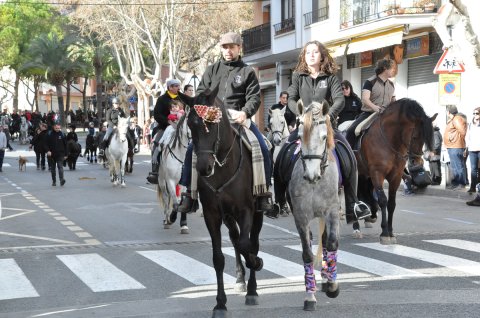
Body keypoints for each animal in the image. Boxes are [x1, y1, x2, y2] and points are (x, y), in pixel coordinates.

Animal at [186, 89, 264, 318]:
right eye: (190, 125)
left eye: (212, 124)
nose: (203, 168)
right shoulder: (212, 215)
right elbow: (218, 258)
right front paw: (220, 303)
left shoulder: (247, 210)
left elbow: (247, 244)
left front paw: (256, 263)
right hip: (228, 216)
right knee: (235, 238)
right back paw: (240, 279)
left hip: (257, 212)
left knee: (250, 241)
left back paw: (251, 287)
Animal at [284, 100, 342, 310]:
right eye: (300, 137)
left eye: (324, 137)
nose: (311, 175)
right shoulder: (301, 216)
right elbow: (307, 254)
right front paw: (310, 296)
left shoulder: (332, 211)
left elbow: (332, 243)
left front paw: (332, 286)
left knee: (325, 241)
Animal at [352, 98, 436, 245]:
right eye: (415, 136)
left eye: (425, 139)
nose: (416, 162)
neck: (390, 139)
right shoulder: (377, 173)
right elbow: (383, 200)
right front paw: (384, 232)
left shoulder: (395, 176)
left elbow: (391, 203)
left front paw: (390, 232)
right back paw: (356, 226)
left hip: (364, 173)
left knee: (364, 191)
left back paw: (370, 214)